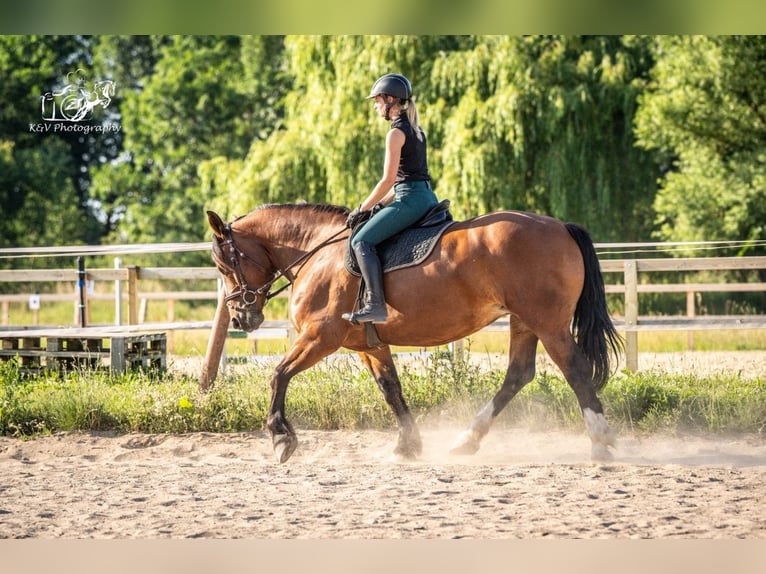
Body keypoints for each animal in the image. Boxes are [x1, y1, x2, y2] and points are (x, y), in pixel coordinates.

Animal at [208, 205, 624, 466]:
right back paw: (466, 440)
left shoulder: (320, 337)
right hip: (524, 322)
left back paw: (601, 440)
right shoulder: (369, 346)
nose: (241, 316)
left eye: (224, 263)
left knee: (575, 370)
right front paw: (408, 446)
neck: (317, 252)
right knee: (518, 374)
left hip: (548, 323)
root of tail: (560, 226)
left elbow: (278, 375)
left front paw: (281, 438)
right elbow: (391, 389)